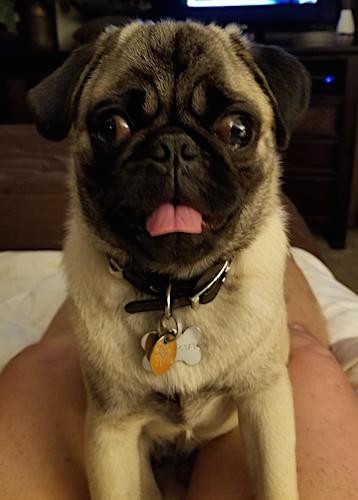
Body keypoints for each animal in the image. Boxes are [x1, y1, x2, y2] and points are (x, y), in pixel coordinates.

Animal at [28, 20, 310, 500]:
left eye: (237, 130)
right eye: (111, 127)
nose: (174, 145)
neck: (174, 292)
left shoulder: (265, 401)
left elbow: (275, 481)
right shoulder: (110, 432)